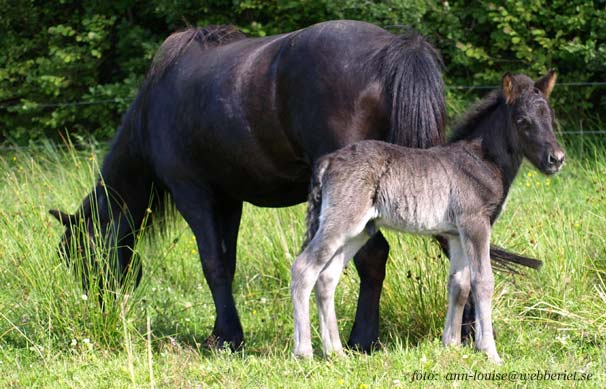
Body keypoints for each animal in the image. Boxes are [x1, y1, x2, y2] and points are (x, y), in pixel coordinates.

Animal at [50, 19, 540, 350]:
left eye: (78, 254)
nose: (97, 308)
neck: (158, 98)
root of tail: (395, 47)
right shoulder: (229, 200)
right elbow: (226, 263)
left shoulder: (195, 194)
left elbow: (212, 264)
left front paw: (226, 337)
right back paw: (467, 331)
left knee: (373, 258)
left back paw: (361, 338)